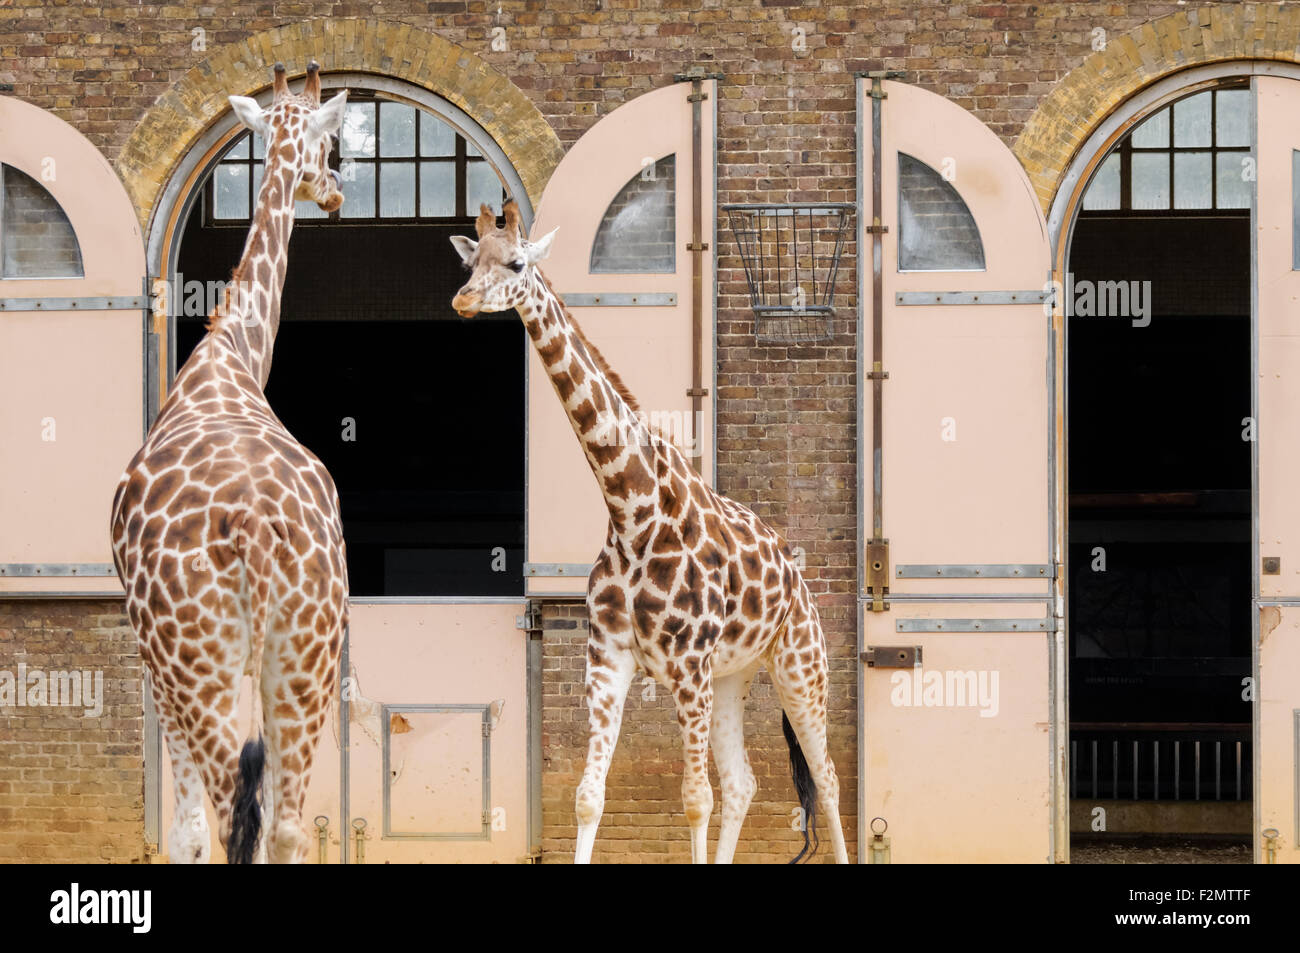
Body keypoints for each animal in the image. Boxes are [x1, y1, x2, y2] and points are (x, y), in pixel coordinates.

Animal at [111, 61, 351, 863]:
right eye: (330, 142)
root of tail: (251, 526)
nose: (336, 191)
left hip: (200, 663)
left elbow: (183, 831)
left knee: (228, 813)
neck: (231, 359)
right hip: (305, 656)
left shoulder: (151, 658)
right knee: (285, 822)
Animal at [452, 200, 847, 863]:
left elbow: (694, 800)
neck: (631, 509)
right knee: (744, 782)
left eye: (515, 263)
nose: (462, 300)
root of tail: (797, 577)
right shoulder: (608, 659)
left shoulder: (687, 665)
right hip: (733, 675)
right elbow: (589, 797)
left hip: (799, 664)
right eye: (469, 260)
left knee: (827, 779)